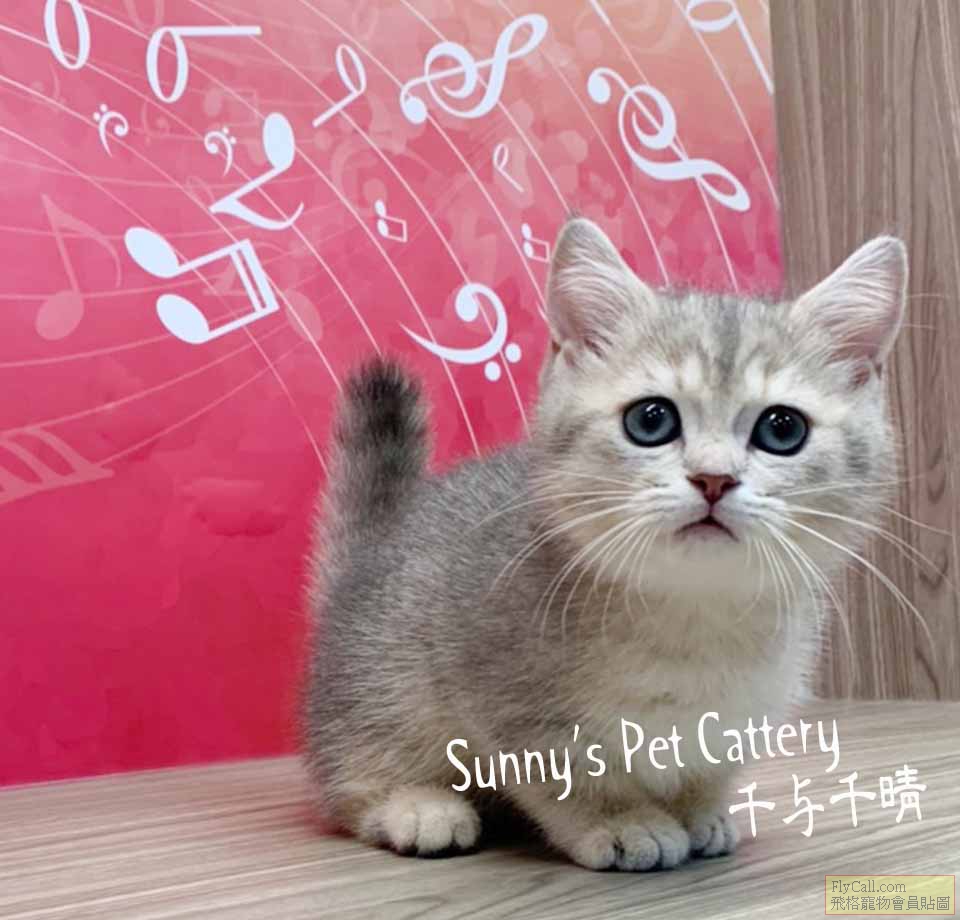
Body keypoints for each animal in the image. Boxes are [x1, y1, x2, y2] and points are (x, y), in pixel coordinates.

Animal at [303, 218, 907, 871]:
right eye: (651, 420)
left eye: (783, 428)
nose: (713, 478)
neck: (692, 614)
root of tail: (377, 544)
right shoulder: (512, 704)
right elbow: (572, 772)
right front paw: (622, 820)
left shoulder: (745, 710)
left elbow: (708, 768)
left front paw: (699, 812)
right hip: (386, 681)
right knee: (354, 773)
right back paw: (418, 807)